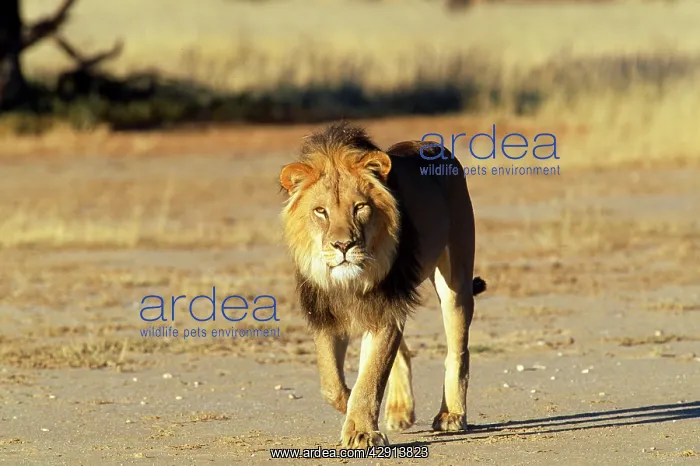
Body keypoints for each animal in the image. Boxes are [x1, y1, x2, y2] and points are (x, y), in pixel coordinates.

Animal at [279, 121, 486, 448]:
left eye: (360, 207)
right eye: (320, 211)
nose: (343, 245)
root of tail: (433, 146)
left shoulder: (386, 308)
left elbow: (372, 375)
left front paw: (361, 431)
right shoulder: (326, 311)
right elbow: (332, 383)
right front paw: (352, 408)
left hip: (456, 280)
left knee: (458, 351)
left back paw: (451, 415)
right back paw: (400, 410)